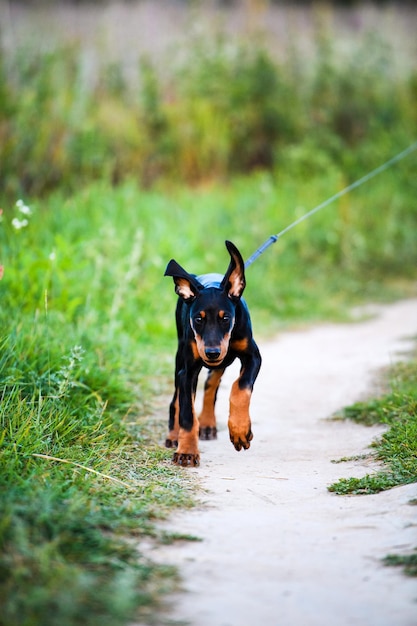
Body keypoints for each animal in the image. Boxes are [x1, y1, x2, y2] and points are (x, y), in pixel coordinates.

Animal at [163, 239, 258, 464]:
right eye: (198, 318)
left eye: (226, 318)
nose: (212, 352)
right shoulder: (187, 372)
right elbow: (187, 414)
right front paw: (187, 451)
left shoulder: (253, 356)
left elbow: (241, 387)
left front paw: (240, 429)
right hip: (181, 357)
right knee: (176, 400)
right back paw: (173, 435)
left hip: (221, 362)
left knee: (211, 385)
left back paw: (207, 423)